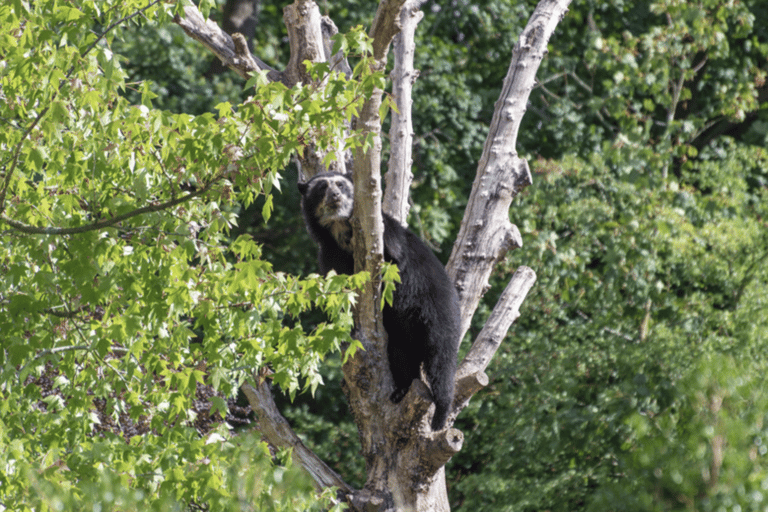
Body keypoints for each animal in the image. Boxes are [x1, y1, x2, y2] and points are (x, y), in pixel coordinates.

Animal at [296, 173, 460, 432]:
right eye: (322, 187)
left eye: (340, 184)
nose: (335, 196)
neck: (339, 229)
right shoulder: (329, 255)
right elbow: (344, 291)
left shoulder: (385, 231)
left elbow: (393, 251)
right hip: (402, 335)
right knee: (402, 357)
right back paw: (401, 391)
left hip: (438, 312)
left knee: (441, 360)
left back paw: (440, 415)